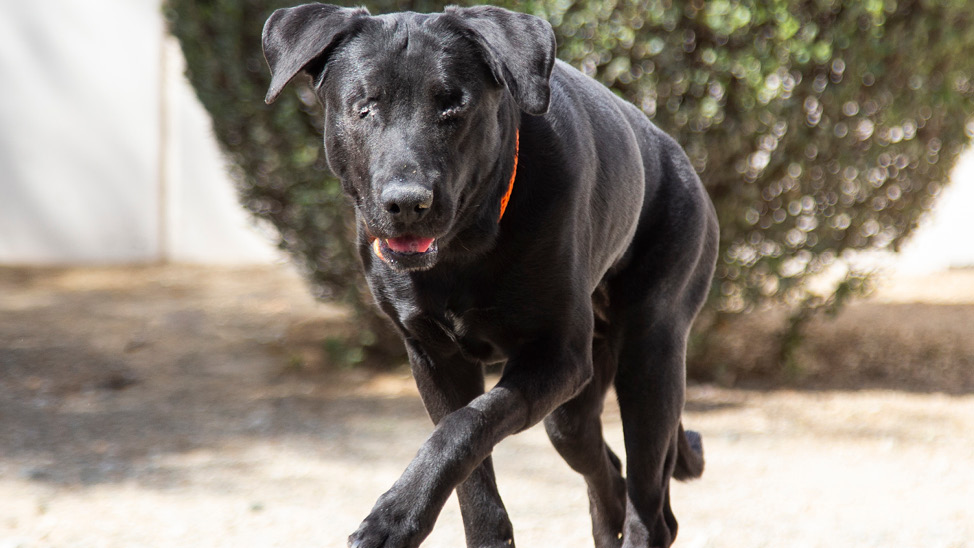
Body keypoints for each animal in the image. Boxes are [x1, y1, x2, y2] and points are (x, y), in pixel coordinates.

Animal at [262, 3, 716, 544]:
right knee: (604, 471)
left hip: (651, 360)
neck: (464, 252)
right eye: (365, 107)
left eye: (452, 107)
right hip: (575, 409)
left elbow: (464, 427)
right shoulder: (434, 358)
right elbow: (468, 463)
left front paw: (392, 518)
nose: (407, 203)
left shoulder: (558, 358)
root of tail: (676, 150)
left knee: (649, 504)